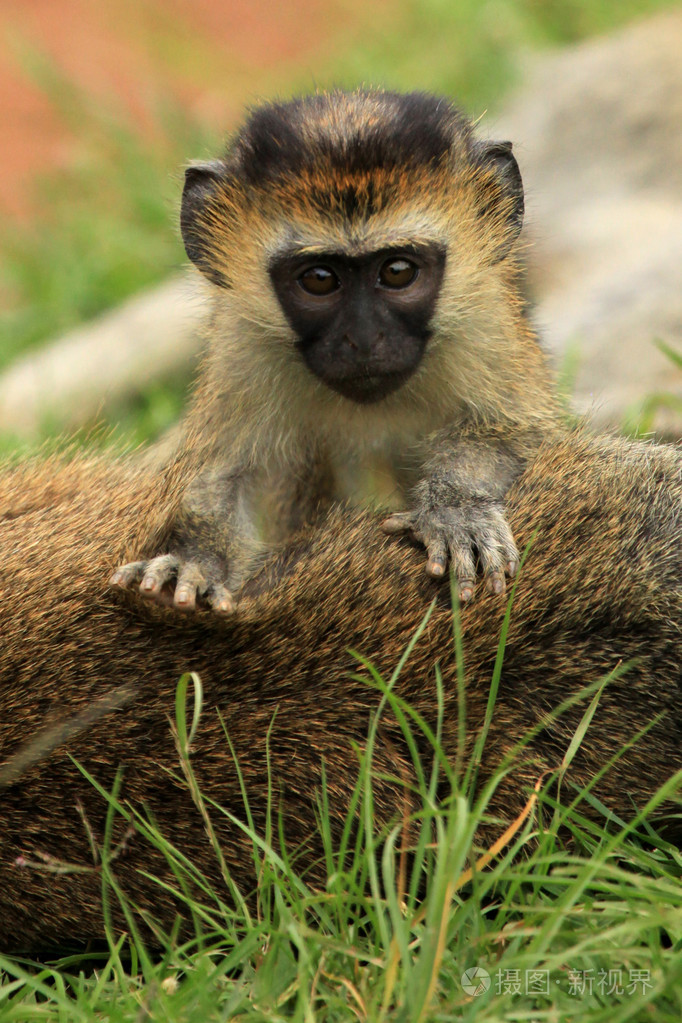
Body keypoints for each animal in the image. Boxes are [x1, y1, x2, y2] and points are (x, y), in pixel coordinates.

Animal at [110, 87, 560, 609]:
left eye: (398, 271)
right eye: (320, 279)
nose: (362, 339)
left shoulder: (487, 326)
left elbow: (515, 430)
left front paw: (455, 508)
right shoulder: (243, 345)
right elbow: (234, 475)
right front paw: (199, 558)